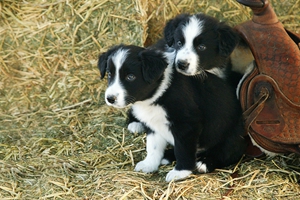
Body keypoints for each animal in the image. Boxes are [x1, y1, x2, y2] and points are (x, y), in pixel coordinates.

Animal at [98, 44, 246, 182]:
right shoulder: (153, 123)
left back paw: (205, 163)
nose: (110, 98)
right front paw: (149, 164)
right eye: (109, 74)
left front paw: (180, 172)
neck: (159, 95)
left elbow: (183, 149)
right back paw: (167, 156)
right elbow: (153, 146)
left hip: (234, 134)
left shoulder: (187, 125)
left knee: (227, 153)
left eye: (130, 77)